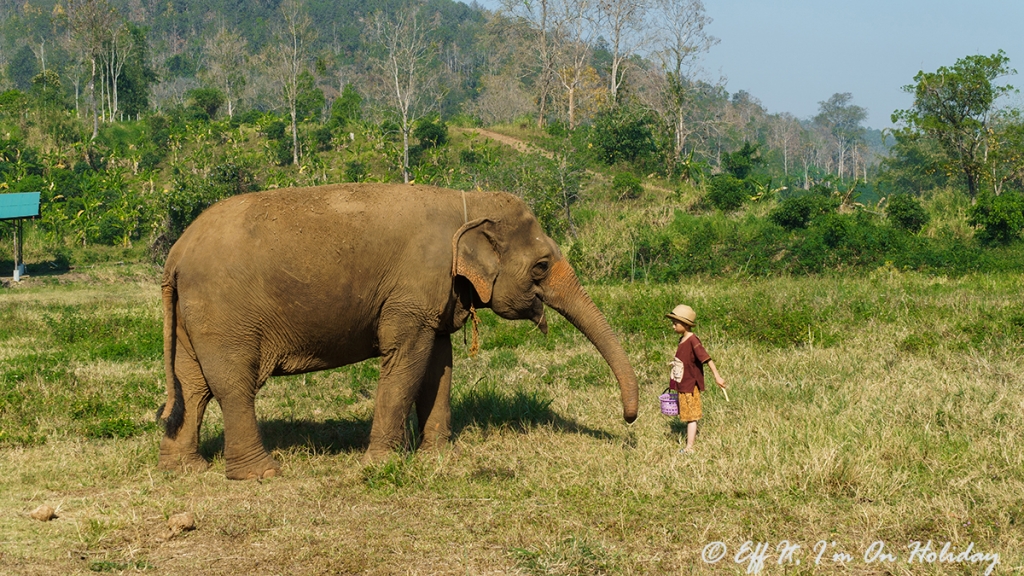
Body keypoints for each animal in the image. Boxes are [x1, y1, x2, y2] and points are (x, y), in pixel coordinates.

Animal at [157, 181, 638, 477]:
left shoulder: (436, 294)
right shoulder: (413, 290)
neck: (467, 201)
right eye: (540, 266)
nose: (629, 424)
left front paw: (440, 457)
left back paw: (185, 468)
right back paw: (262, 474)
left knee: (192, 384)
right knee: (233, 385)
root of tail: (175, 254)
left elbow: (439, 366)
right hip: (224, 314)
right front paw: (380, 465)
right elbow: (407, 361)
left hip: (191, 317)